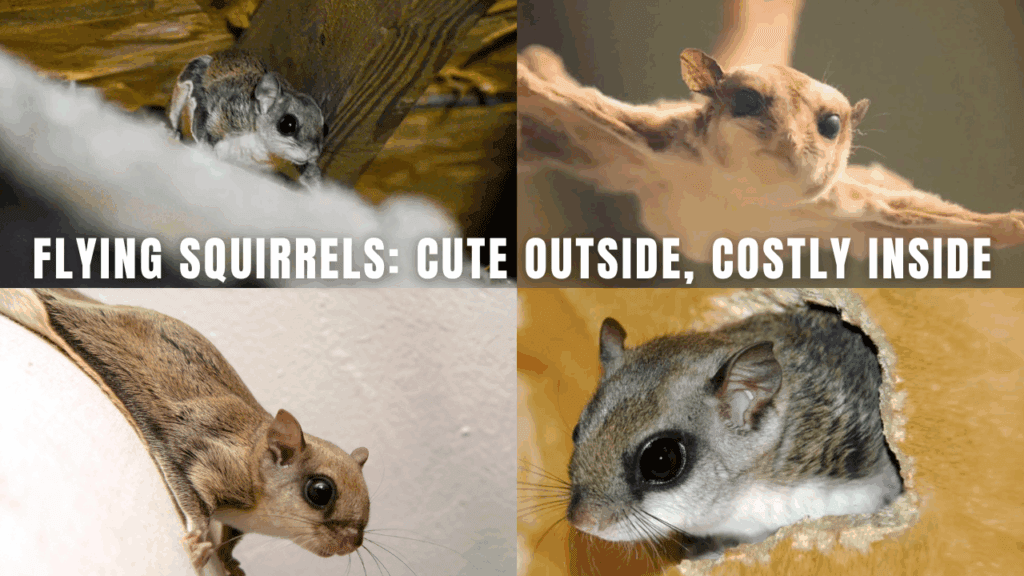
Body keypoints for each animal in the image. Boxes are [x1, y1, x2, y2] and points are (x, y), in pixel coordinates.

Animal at [0, 289, 369, 575]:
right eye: (320, 491)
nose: (353, 542)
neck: (253, 459)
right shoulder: (200, 455)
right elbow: (194, 500)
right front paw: (197, 544)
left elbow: (231, 536)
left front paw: (228, 561)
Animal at [168, 48, 327, 187]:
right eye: (288, 125)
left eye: (325, 128)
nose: (313, 153)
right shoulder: (225, 109)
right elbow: (204, 122)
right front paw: (207, 148)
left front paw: (314, 180)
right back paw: (174, 131)